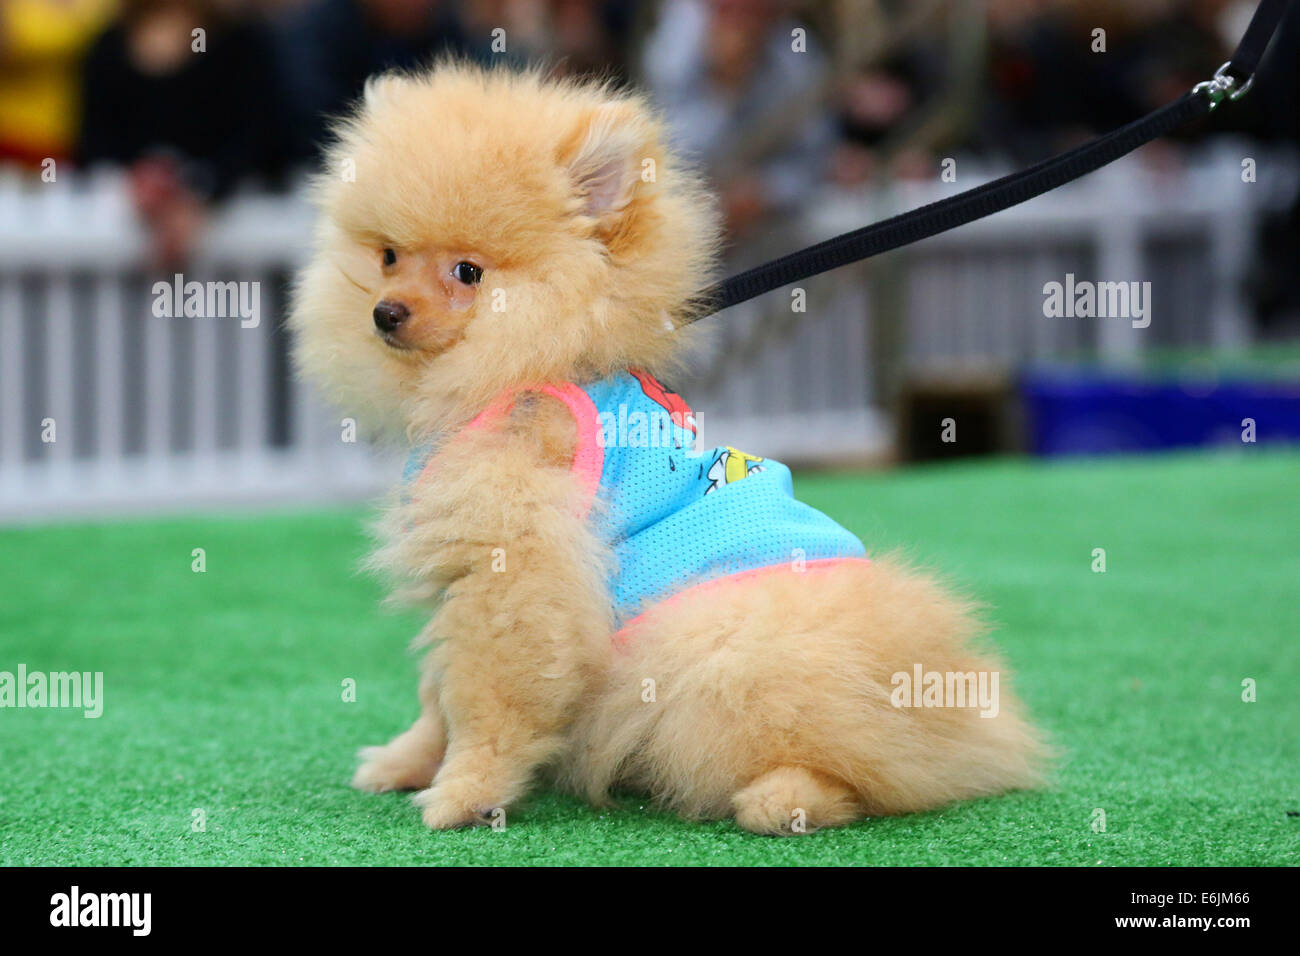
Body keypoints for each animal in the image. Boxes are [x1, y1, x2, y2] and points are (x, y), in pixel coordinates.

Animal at [289, 63, 1040, 832]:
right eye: (388, 257)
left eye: (468, 273)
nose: (385, 313)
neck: (533, 361)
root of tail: (960, 720)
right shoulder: (467, 569)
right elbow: (437, 691)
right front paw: (407, 762)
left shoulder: (516, 564)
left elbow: (485, 697)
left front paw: (465, 793)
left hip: (724, 648)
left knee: (864, 762)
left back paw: (786, 798)